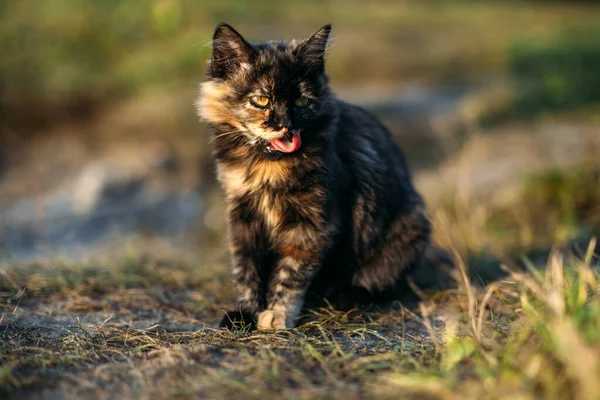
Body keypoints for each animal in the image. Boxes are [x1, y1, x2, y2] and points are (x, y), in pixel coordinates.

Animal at [196, 22, 432, 332]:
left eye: (302, 100)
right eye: (261, 100)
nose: (285, 125)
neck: (267, 167)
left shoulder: (312, 223)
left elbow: (291, 273)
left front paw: (277, 314)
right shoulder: (243, 217)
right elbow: (247, 269)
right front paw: (246, 313)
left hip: (410, 226)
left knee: (380, 280)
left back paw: (344, 297)